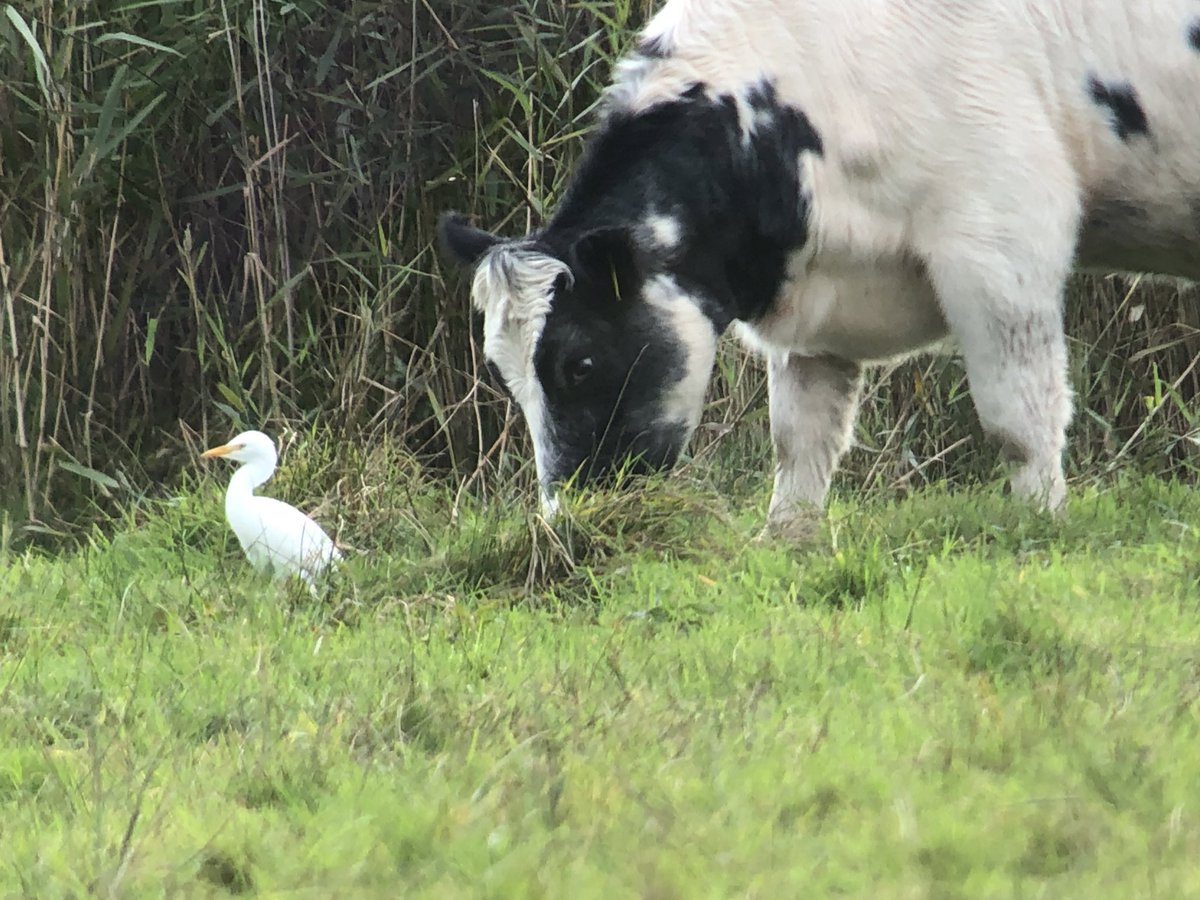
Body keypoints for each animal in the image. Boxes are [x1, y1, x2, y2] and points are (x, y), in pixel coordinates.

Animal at [439, 0, 1200, 537]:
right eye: (502, 373)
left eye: (580, 363)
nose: (566, 522)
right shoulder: (818, 310)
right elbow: (800, 438)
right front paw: (787, 539)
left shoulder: (1001, 237)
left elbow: (1019, 415)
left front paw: (1041, 524)